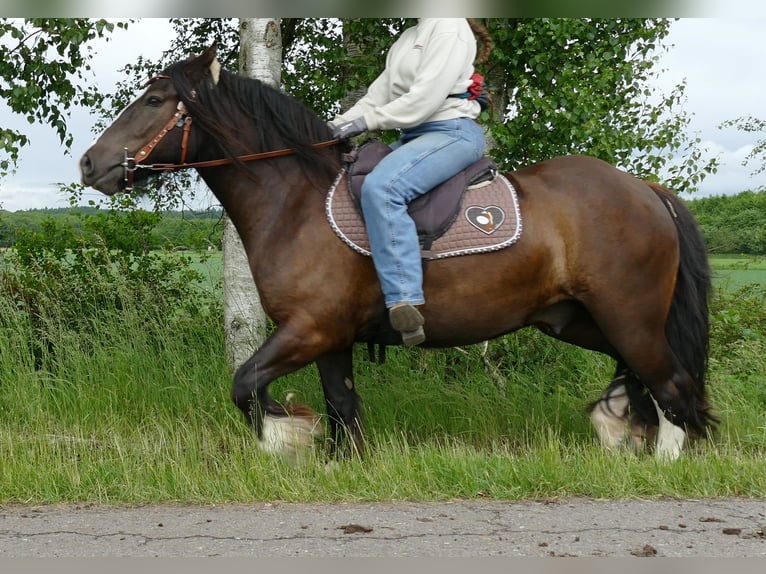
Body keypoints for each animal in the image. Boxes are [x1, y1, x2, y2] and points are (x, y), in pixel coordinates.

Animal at [79, 45, 716, 461]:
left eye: (155, 100)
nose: (90, 163)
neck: (296, 202)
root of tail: (646, 190)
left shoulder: (309, 329)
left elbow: (246, 383)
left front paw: (283, 439)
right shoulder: (329, 336)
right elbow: (340, 404)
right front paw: (342, 462)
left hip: (628, 317)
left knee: (671, 384)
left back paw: (665, 461)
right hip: (581, 319)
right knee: (649, 378)